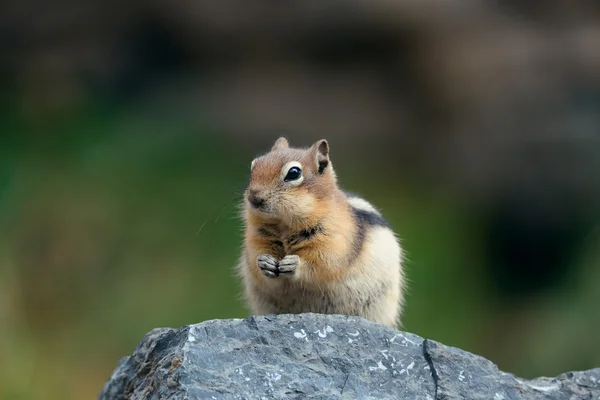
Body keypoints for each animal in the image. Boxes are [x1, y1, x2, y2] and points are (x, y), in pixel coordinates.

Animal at [237, 138, 406, 328]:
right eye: (254, 166)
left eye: (294, 173)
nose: (254, 197)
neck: (284, 225)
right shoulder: (257, 238)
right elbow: (256, 262)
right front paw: (264, 262)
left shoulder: (335, 240)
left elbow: (323, 264)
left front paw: (295, 264)